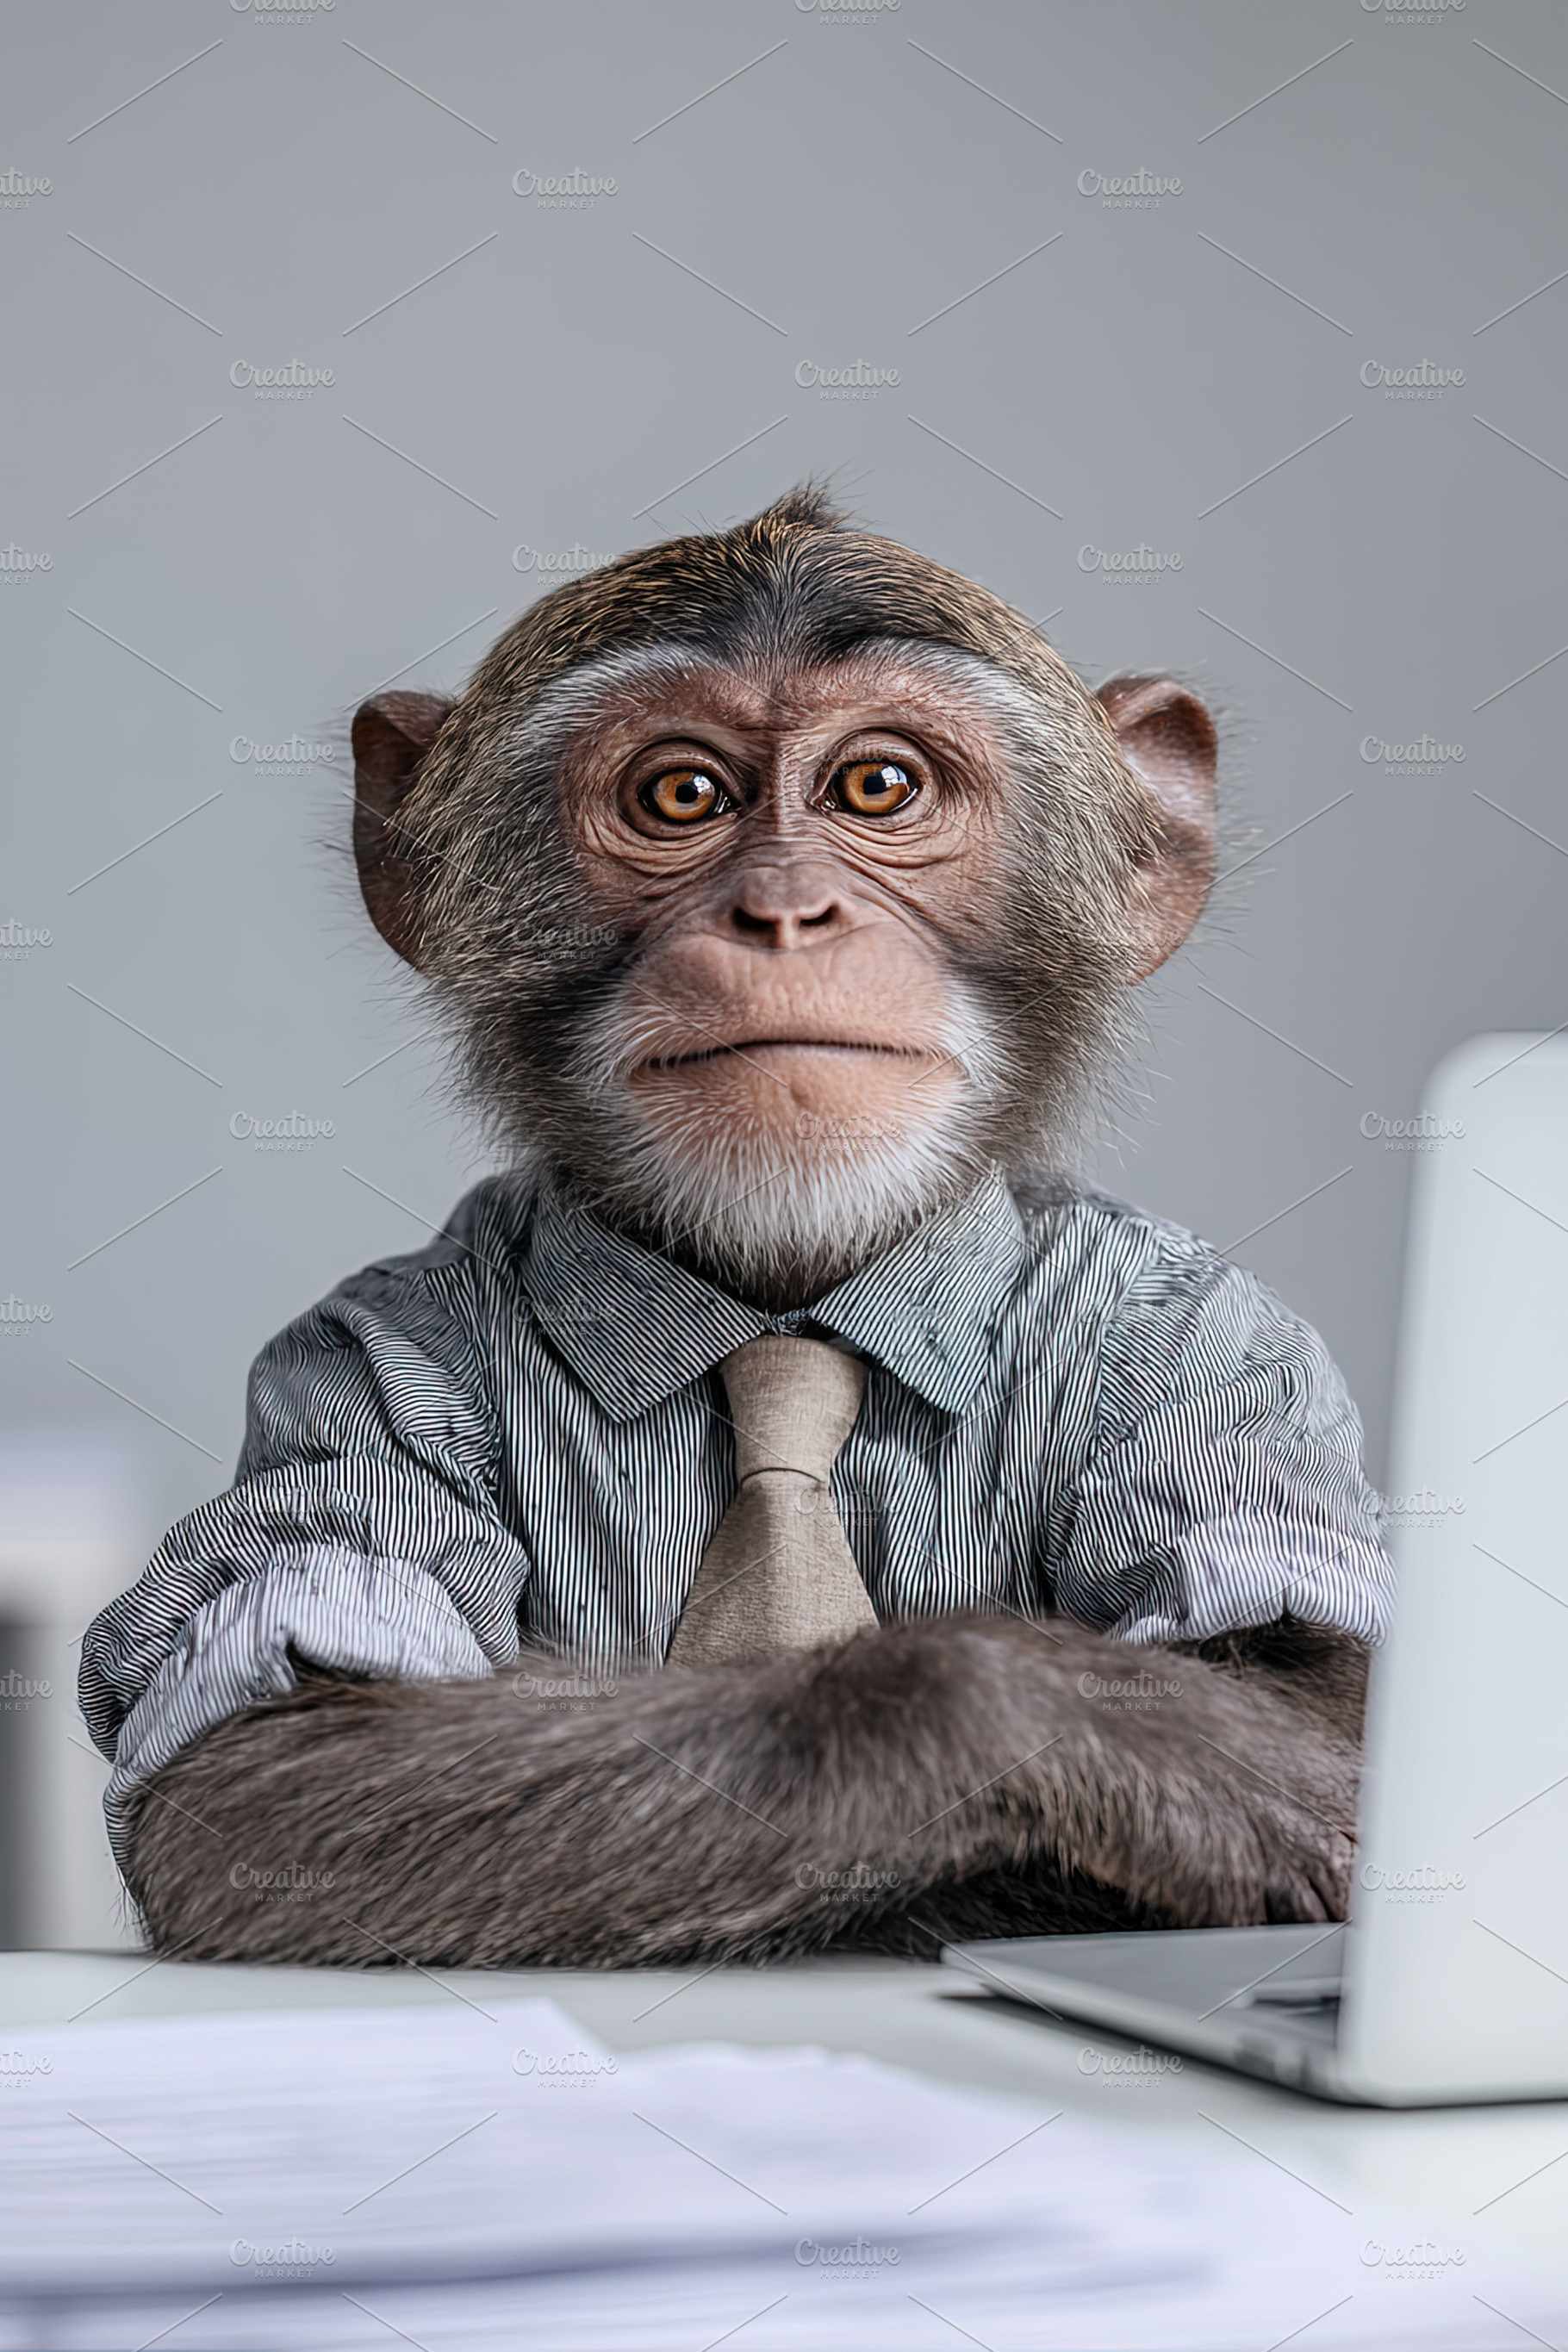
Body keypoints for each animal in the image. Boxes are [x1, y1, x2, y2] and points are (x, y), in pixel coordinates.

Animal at [81, 486, 1391, 1968]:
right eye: (683, 795)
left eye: (879, 786)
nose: (782, 910)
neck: (786, 1309)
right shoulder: (349, 1366)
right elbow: (285, 1746)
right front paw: (1131, 1741)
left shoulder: (1227, 1344)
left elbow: (1323, 1683)